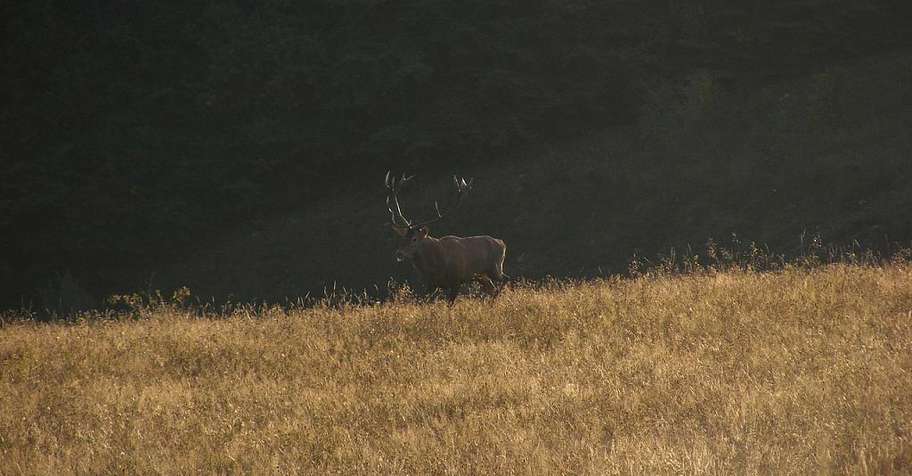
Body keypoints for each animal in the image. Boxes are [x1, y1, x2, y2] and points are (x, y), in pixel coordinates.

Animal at [385, 171, 509, 305]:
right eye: (402, 238)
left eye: (414, 239)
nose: (399, 253)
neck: (435, 266)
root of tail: (502, 243)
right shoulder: (430, 284)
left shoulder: (456, 280)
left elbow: (450, 304)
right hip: (482, 276)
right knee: (493, 289)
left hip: (495, 267)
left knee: (505, 279)